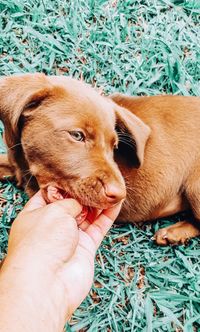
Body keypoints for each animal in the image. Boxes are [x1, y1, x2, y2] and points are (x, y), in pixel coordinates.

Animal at [0, 72, 199, 244]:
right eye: (77, 135)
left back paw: (173, 233)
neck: (24, 165)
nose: (119, 195)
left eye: (114, 146)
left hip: (194, 187)